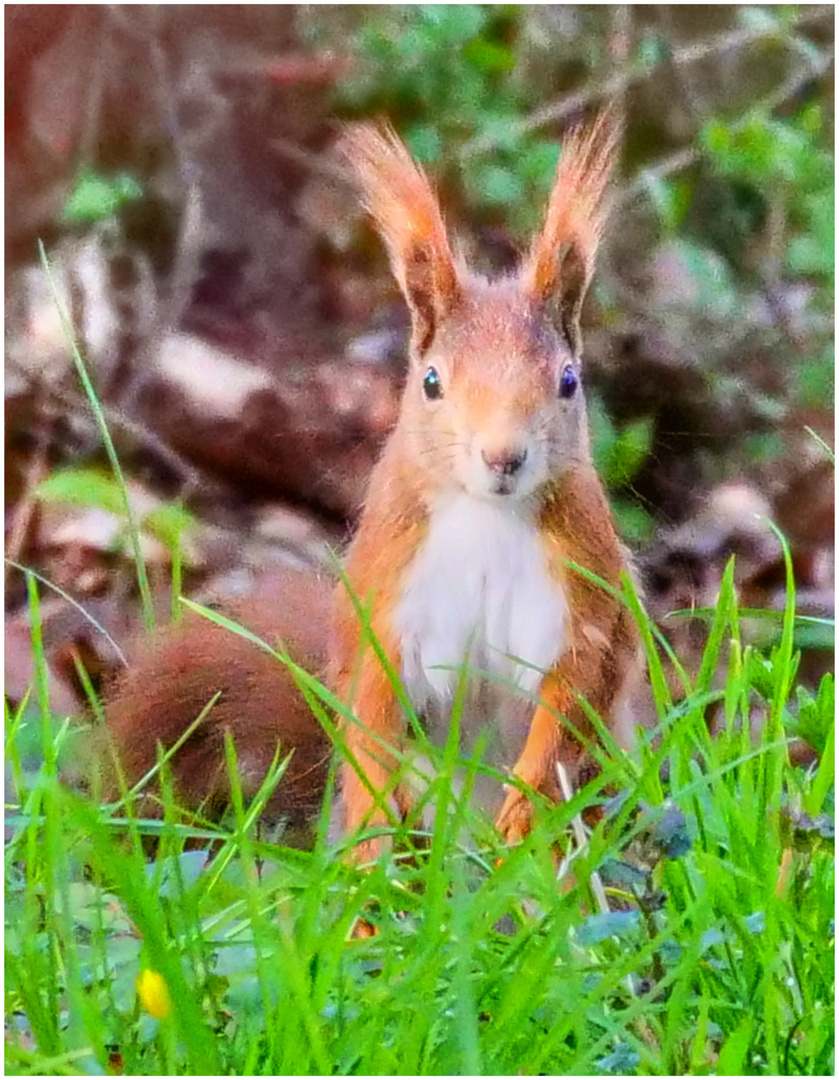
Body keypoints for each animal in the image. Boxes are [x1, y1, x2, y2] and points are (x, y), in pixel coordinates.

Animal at [98, 113, 639, 855]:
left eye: (567, 380)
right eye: (431, 381)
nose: (503, 457)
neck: (487, 520)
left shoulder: (584, 595)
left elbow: (573, 697)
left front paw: (525, 806)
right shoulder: (389, 586)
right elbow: (369, 700)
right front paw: (376, 817)